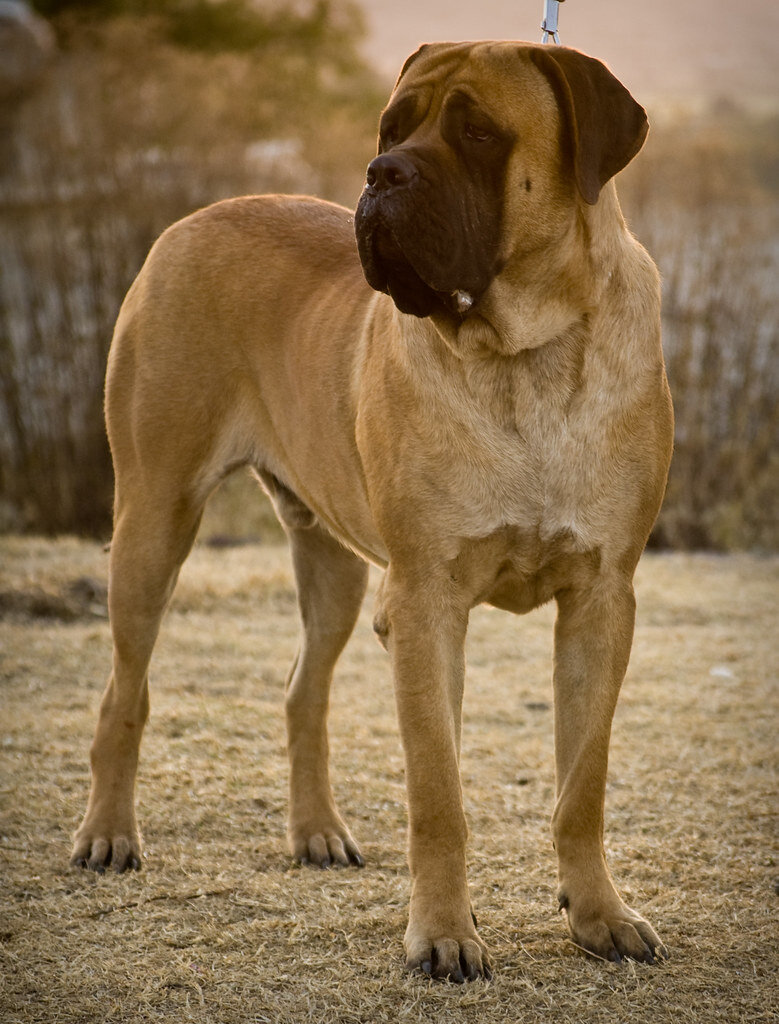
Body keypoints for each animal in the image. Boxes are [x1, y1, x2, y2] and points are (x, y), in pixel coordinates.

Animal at [70, 41, 671, 983]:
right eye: (391, 129)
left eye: (476, 131)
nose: (380, 173)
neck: (526, 354)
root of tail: (193, 218)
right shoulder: (424, 603)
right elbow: (438, 794)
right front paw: (445, 935)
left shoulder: (601, 600)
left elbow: (583, 783)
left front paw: (599, 914)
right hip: (152, 523)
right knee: (122, 693)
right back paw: (107, 834)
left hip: (335, 566)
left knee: (301, 692)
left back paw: (317, 831)